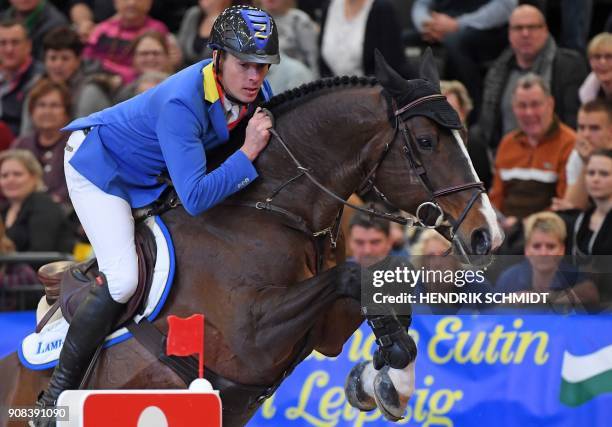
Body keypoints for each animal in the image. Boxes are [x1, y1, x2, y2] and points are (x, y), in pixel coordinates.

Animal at [0, 49, 500, 424]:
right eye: (426, 142)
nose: (487, 236)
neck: (273, 211)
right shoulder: (249, 339)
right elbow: (353, 276)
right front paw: (391, 367)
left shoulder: (321, 331)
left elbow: (379, 281)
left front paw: (383, 379)